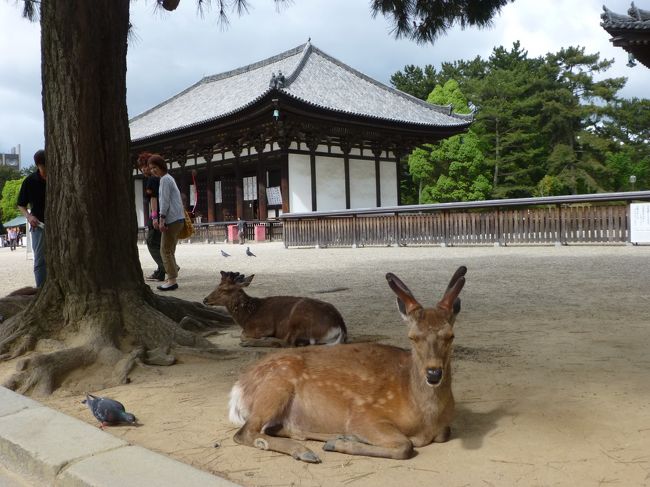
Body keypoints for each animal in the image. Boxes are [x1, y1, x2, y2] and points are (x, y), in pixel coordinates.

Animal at [203, 271, 347, 347]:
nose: (205, 299)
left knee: (288, 342)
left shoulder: (263, 326)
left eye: (224, 289)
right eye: (217, 285)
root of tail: (340, 326)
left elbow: (242, 335)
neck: (247, 317)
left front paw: (251, 340)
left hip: (297, 317)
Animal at [227, 266, 466, 462]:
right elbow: (405, 446)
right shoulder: (365, 414)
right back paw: (306, 450)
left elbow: (444, 433)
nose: (434, 374)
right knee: (245, 432)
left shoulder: (443, 428)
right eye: (412, 337)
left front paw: (341, 440)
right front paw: (341, 443)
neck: (426, 418)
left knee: (274, 428)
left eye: (451, 336)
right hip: (276, 385)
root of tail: (237, 389)